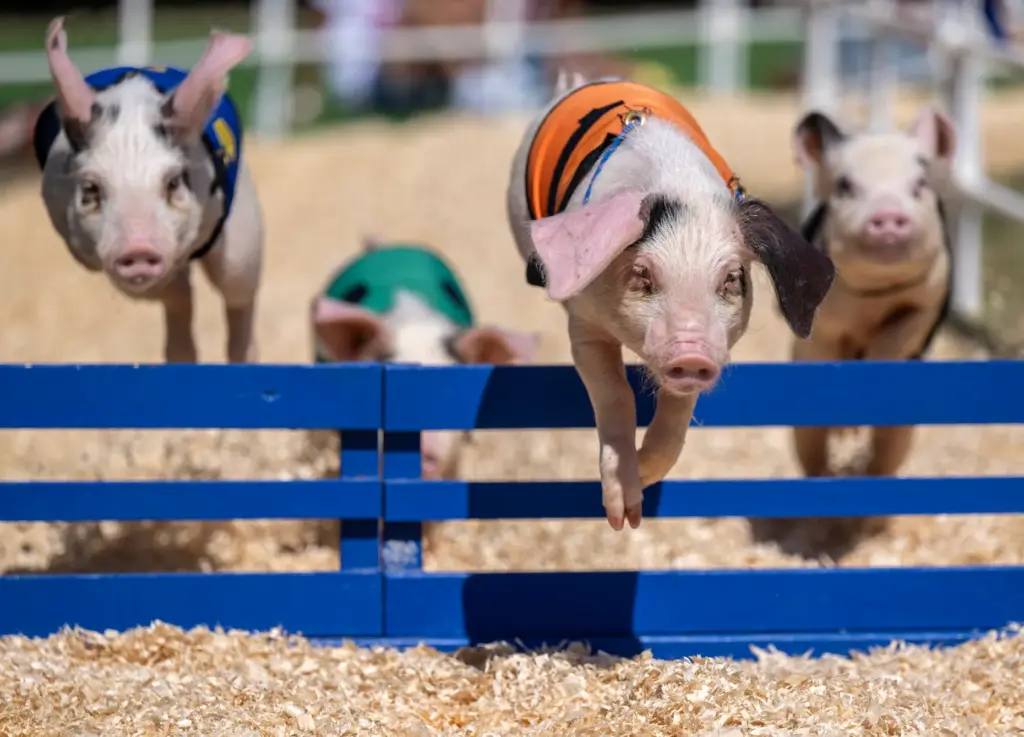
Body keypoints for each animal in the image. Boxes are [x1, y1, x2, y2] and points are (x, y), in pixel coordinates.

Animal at [33, 17, 263, 364]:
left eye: (173, 182)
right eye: (90, 188)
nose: (138, 248)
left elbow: (231, 285)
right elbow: (174, 294)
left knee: (236, 294)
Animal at [506, 72, 836, 530]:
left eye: (732, 278)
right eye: (643, 273)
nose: (691, 353)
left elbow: (677, 418)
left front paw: (645, 476)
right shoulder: (584, 324)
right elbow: (615, 393)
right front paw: (622, 518)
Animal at [789, 107, 956, 478]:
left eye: (919, 184)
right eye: (845, 186)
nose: (888, 213)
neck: (874, 296)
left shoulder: (929, 301)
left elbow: (896, 337)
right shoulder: (822, 322)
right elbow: (829, 350)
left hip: (902, 431)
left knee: (884, 459)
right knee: (813, 455)